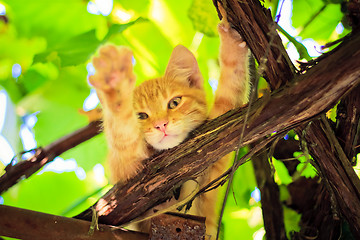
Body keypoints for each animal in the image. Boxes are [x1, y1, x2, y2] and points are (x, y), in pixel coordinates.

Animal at [88, 7, 249, 238]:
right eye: (141, 116)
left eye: (174, 102)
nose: (161, 124)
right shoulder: (126, 169)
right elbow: (124, 137)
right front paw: (115, 88)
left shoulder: (219, 142)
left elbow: (231, 86)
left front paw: (230, 42)